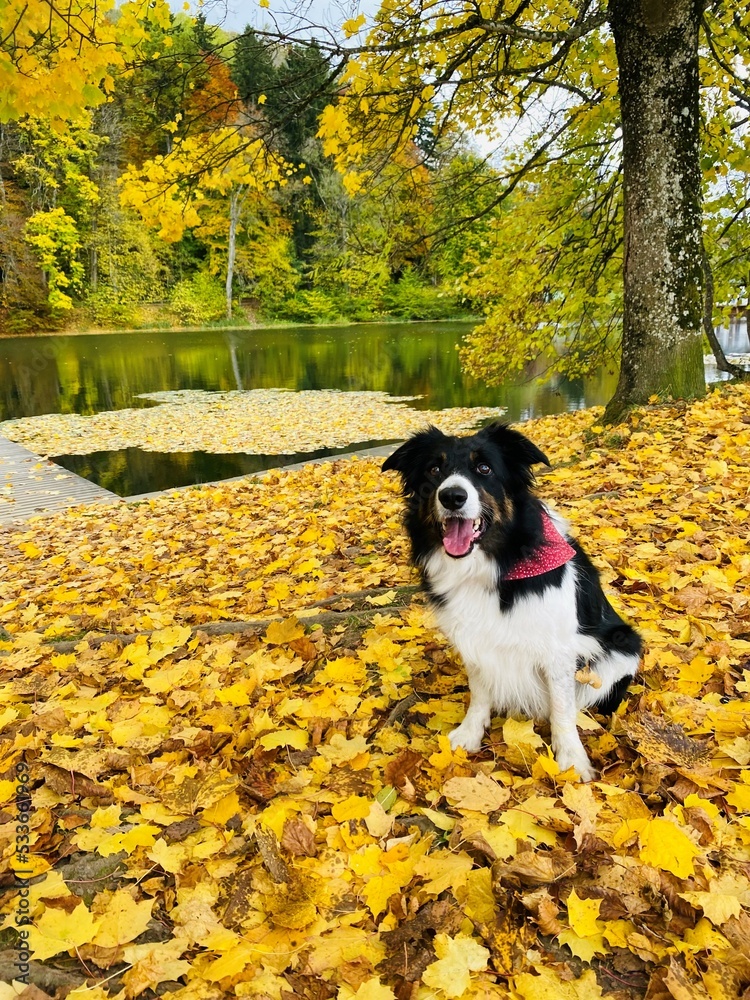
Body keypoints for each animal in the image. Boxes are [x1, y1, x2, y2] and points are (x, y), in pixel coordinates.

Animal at [384, 422, 644, 780]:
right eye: (434, 470)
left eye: (484, 468)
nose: (452, 496)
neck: (494, 565)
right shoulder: (473, 640)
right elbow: (479, 691)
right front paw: (470, 732)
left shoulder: (558, 650)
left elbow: (562, 708)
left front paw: (571, 760)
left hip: (622, 646)